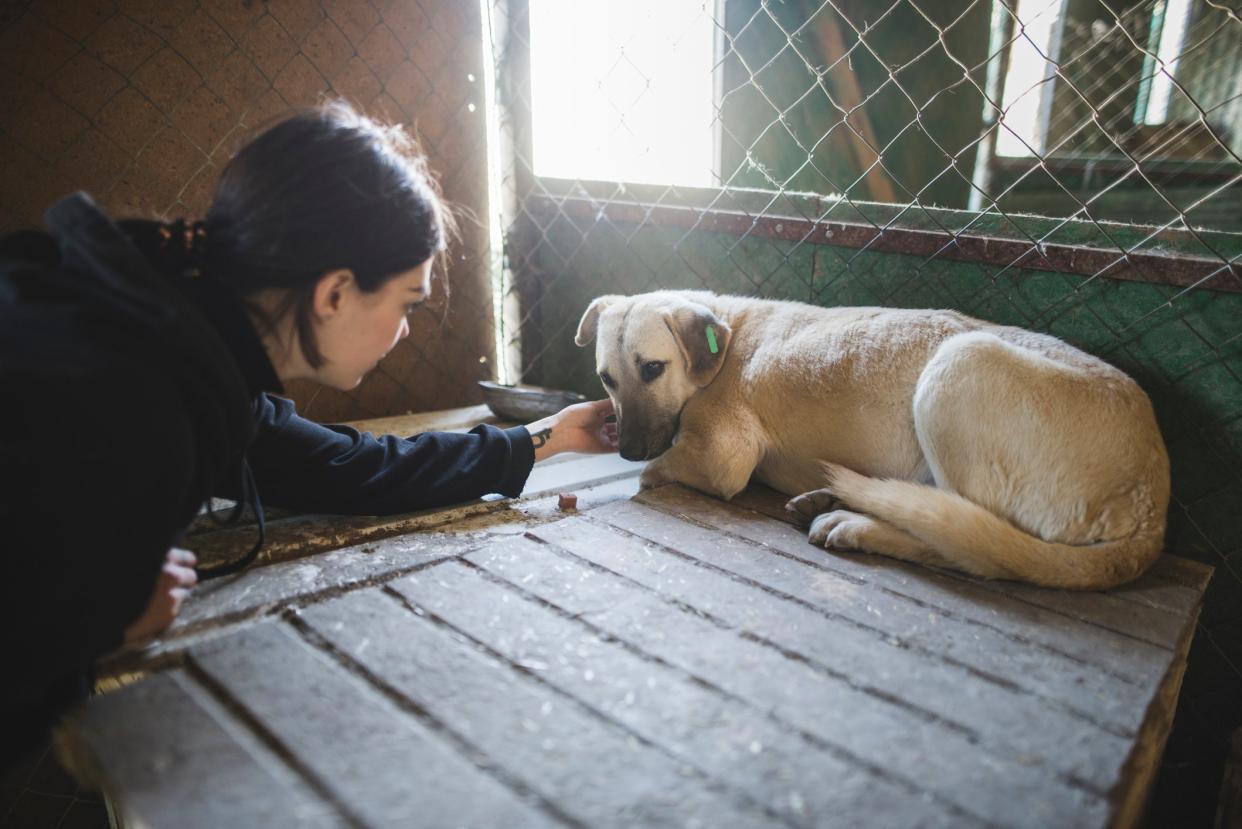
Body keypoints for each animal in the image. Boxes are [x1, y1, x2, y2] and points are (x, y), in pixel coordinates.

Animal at [576, 292, 1167, 589]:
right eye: (606, 378)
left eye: (653, 369)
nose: (626, 449)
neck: (726, 335)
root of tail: (1152, 507)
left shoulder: (722, 457)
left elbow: (656, 472)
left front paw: (644, 470)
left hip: (960, 365)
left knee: (968, 544)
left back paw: (854, 523)